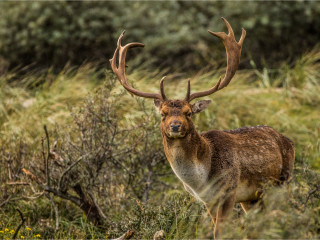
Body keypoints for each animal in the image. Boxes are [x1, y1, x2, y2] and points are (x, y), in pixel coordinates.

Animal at [109, 18, 296, 238]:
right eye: (163, 113)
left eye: (188, 112)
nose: (175, 126)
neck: (201, 180)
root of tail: (288, 140)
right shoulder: (209, 200)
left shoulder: (229, 190)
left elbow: (220, 232)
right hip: (253, 198)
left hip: (283, 180)